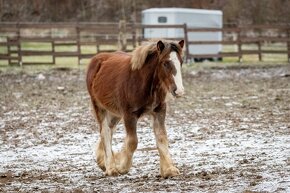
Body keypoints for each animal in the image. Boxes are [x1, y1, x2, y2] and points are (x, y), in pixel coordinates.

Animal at [86, 39, 185, 178]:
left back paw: (102, 162)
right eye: (165, 63)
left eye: (181, 62)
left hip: (115, 112)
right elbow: (132, 142)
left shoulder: (159, 111)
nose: (179, 91)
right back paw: (111, 168)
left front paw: (169, 169)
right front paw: (122, 167)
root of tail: (96, 59)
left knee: (110, 129)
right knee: (105, 131)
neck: (143, 82)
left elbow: (162, 137)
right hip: (99, 107)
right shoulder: (129, 114)